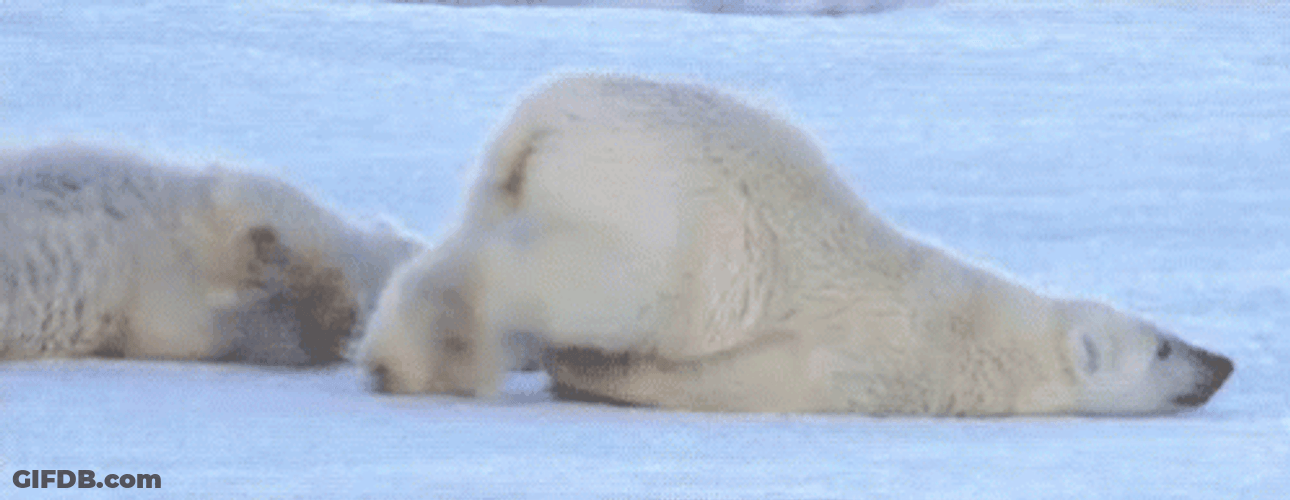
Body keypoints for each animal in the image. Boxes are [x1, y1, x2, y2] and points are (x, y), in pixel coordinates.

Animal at [355, 73, 1234, 415]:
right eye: (1162, 347)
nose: (1223, 362)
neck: (971, 331)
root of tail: (547, 116)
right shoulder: (850, 359)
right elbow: (736, 378)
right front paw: (607, 377)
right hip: (667, 217)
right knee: (586, 283)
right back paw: (428, 359)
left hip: (517, 179)